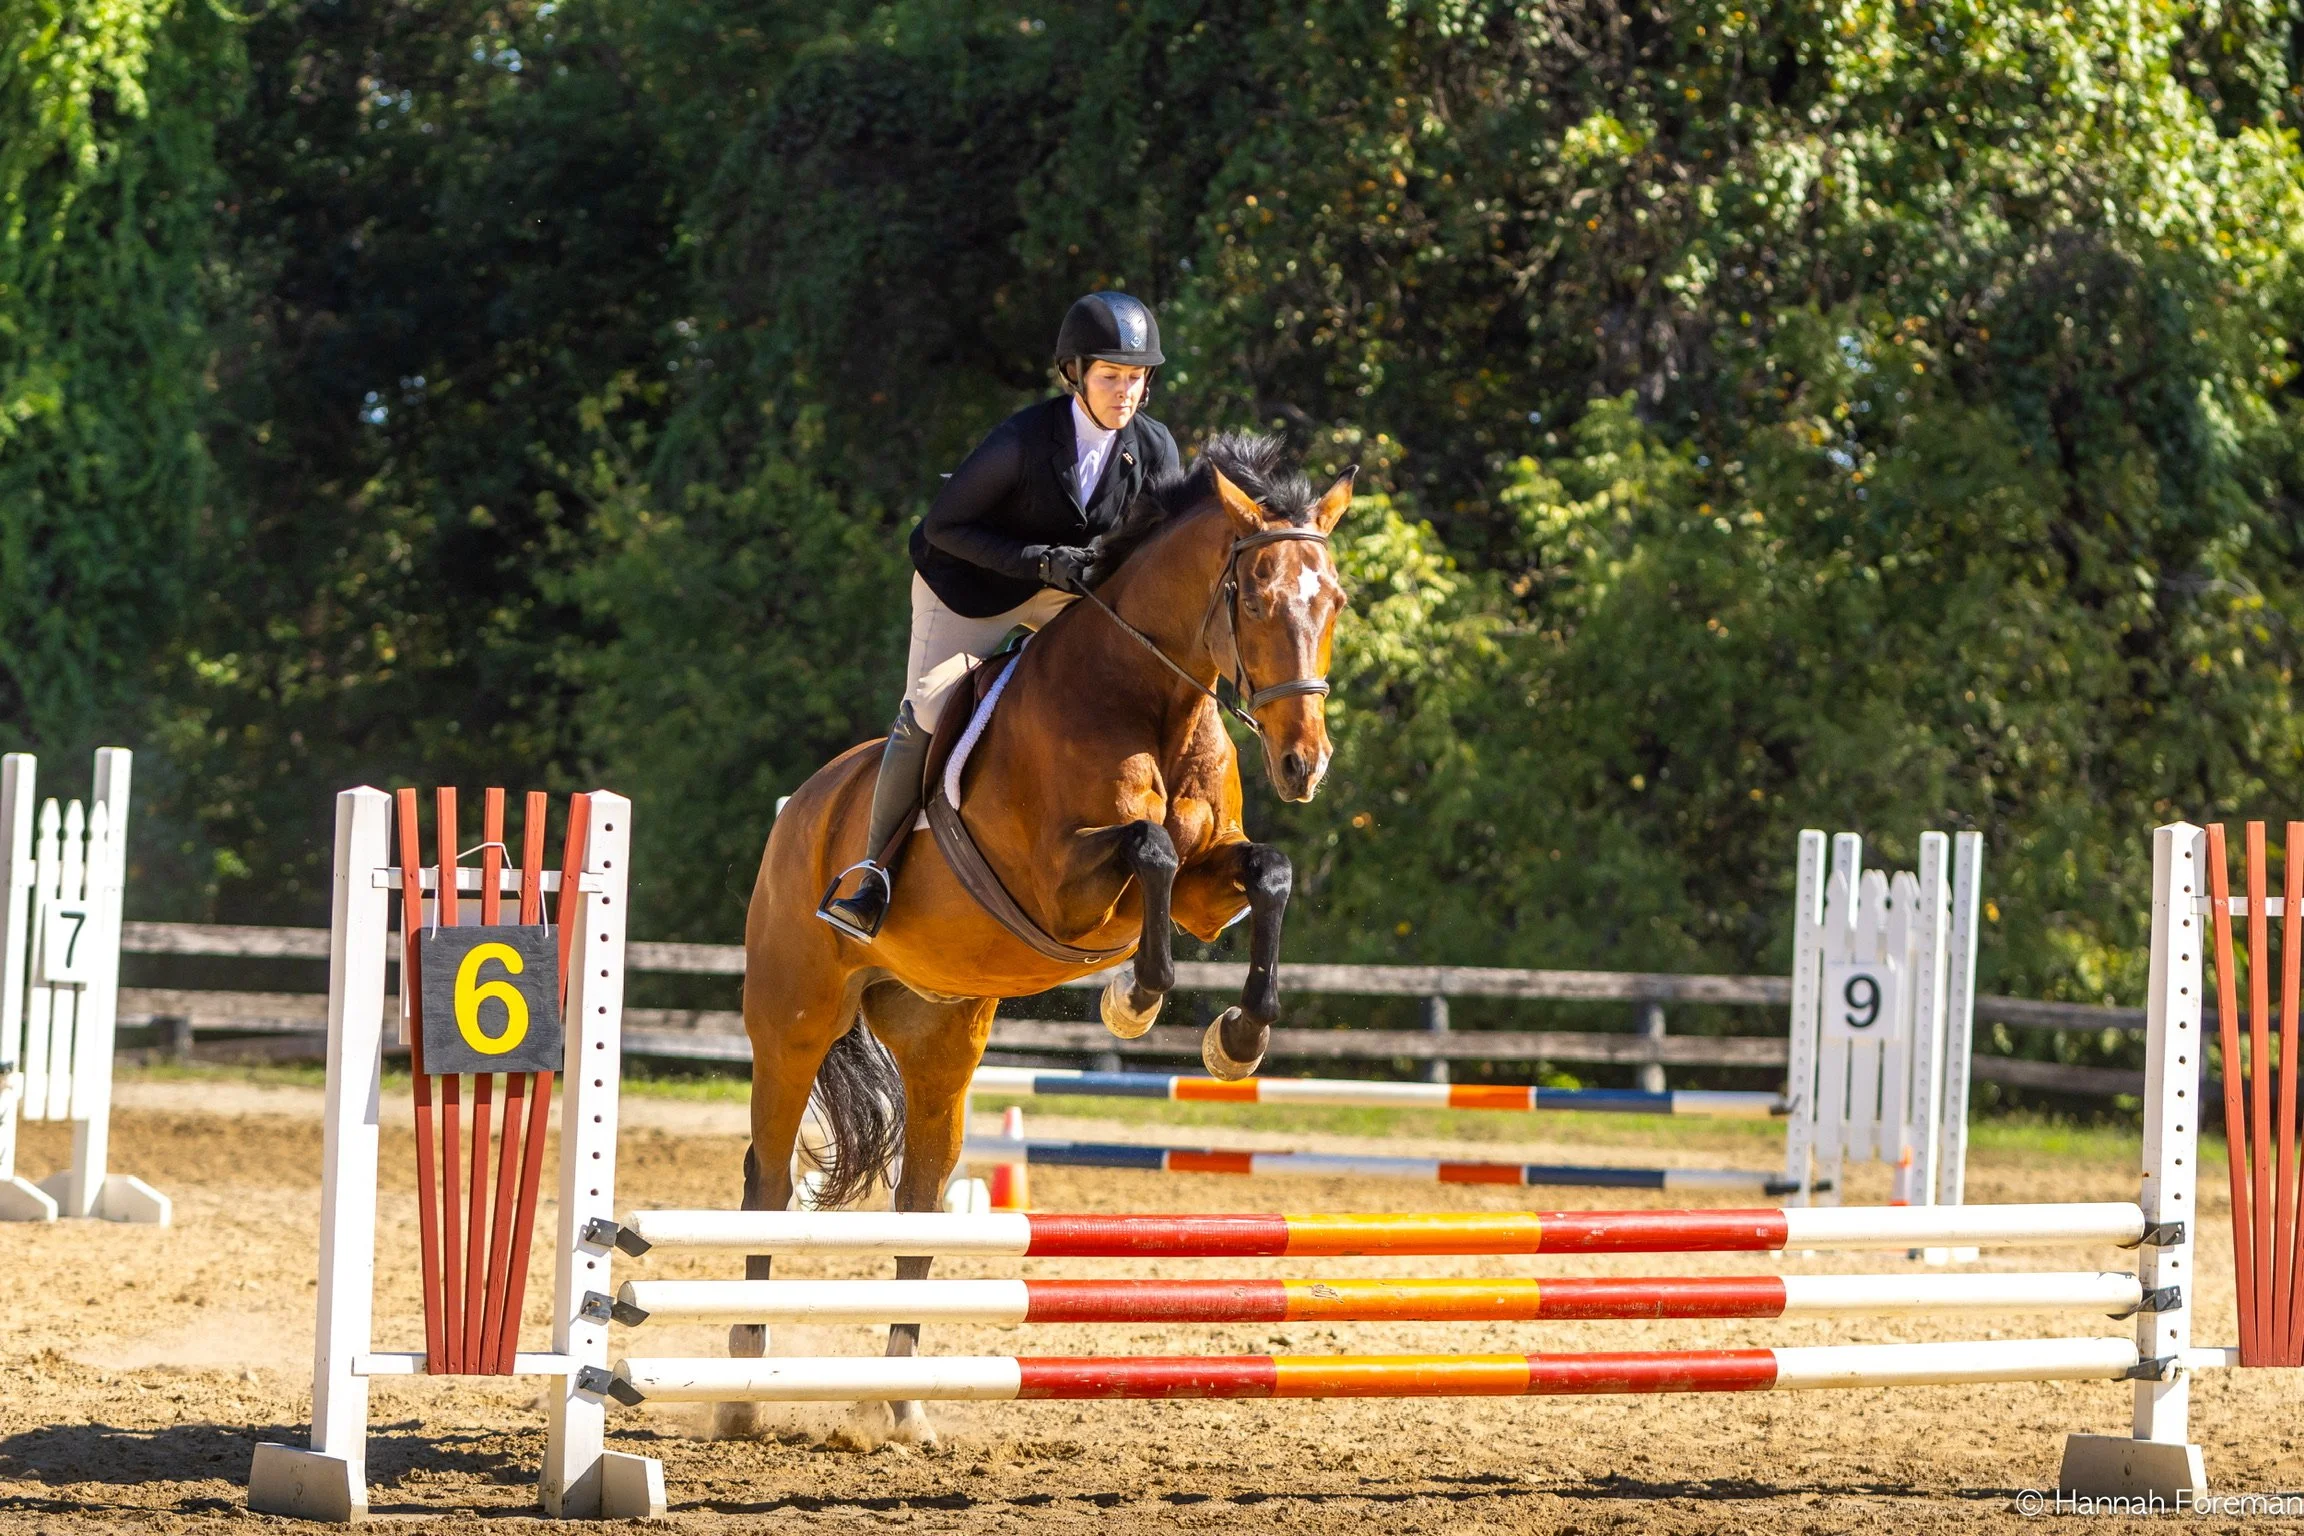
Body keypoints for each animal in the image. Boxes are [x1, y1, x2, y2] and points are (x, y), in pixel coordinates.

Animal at [731, 432, 1352, 1442]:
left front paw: (1237, 1036)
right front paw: (1134, 1000)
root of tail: (801, 809)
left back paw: (901, 1407)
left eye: (1331, 599)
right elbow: (1148, 850)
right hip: (793, 1022)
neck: (1152, 700)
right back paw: (742, 1388)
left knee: (919, 1198)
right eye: (1255, 599)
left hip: (941, 1037)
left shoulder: (1207, 890)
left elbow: (1268, 871)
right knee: (769, 1183)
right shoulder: (1062, 888)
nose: (1304, 764)